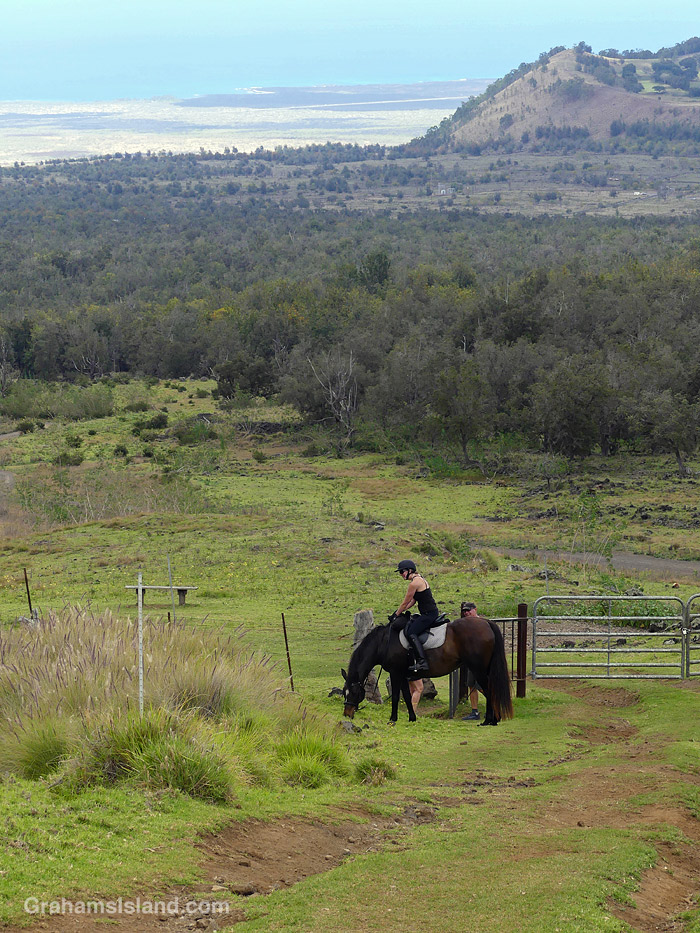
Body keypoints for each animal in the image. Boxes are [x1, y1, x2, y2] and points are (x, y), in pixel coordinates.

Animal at [342, 615, 514, 725]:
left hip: (478, 669)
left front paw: (392, 719)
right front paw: (412, 718)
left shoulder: (396, 673)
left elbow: (396, 696)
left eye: (354, 693)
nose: (347, 714)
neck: (384, 642)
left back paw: (489, 720)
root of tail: (486, 622)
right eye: (344, 693)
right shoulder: (403, 675)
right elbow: (407, 696)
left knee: (489, 689)